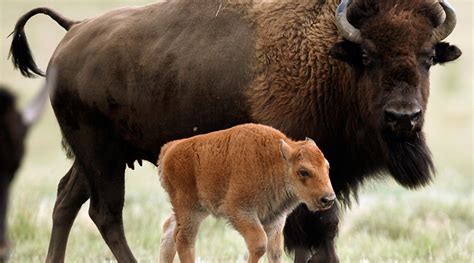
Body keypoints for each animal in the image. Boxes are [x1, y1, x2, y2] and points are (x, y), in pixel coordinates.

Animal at [157, 124, 336, 263]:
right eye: (303, 171)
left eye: (327, 166)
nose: (328, 198)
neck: (274, 161)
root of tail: (169, 149)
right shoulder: (240, 211)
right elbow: (259, 245)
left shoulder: (275, 220)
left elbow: (274, 252)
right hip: (189, 209)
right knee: (183, 240)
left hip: (198, 210)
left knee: (169, 230)